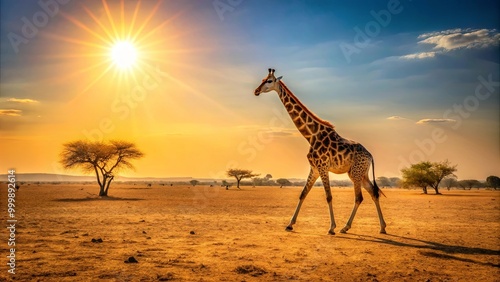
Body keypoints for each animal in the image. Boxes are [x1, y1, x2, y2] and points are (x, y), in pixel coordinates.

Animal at [254, 67, 386, 234]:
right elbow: (303, 194)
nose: (256, 91)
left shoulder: (323, 166)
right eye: (262, 79)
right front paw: (290, 224)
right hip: (360, 173)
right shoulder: (314, 168)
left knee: (359, 197)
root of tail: (370, 156)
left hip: (356, 173)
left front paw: (331, 227)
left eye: (269, 81)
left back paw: (345, 227)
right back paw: (382, 227)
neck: (311, 135)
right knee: (374, 193)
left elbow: (328, 196)